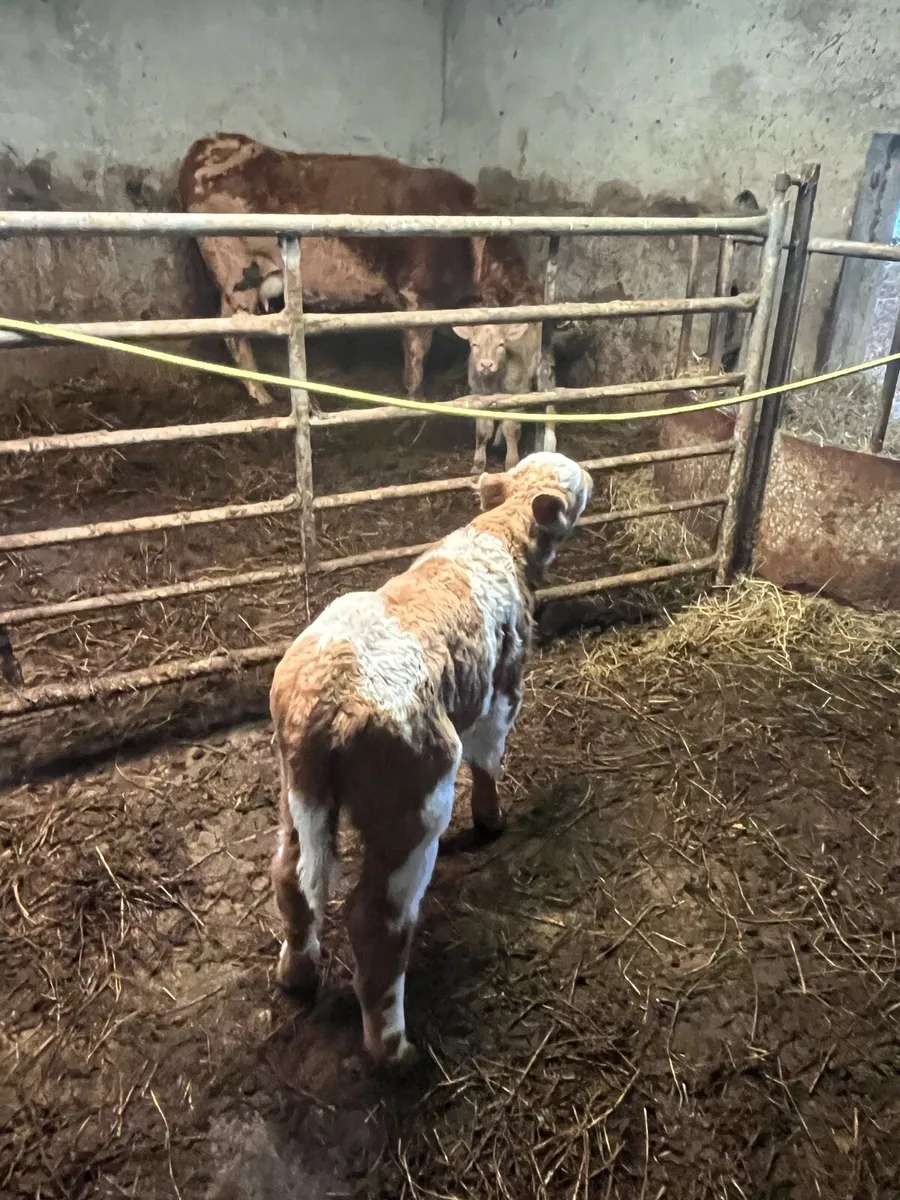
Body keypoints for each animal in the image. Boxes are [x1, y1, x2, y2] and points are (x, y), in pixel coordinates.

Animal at [178, 133, 482, 408]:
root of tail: (203, 147)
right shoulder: (418, 294)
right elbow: (417, 349)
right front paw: (418, 398)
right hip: (236, 271)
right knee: (233, 330)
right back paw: (264, 397)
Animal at [268, 452, 593, 1066]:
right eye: (578, 482)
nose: (592, 476)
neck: (496, 538)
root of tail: (326, 699)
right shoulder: (501, 690)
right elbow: (489, 758)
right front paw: (491, 821)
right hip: (416, 802)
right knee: (379, 925)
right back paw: (394, 1049)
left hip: (295, 793)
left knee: (293, 881)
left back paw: (297, 974)